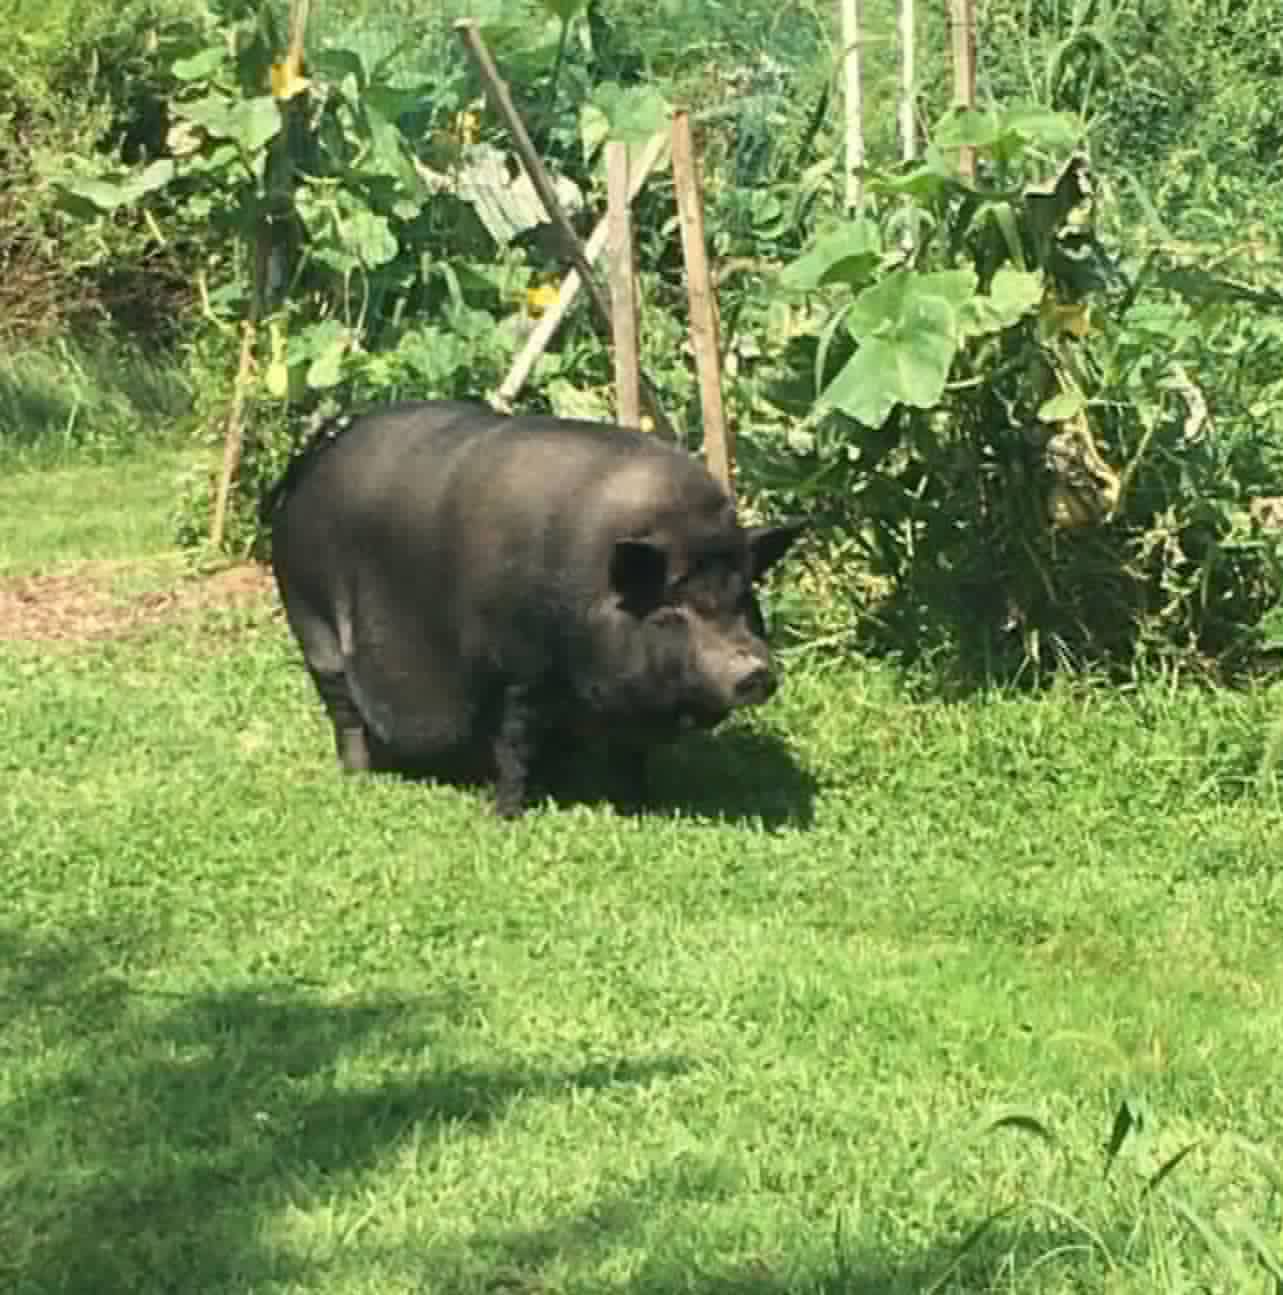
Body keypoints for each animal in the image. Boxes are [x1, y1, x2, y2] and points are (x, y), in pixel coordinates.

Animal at [264, 399, 804, 818]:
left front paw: (640, 805)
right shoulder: (515, 673)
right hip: (311, 619)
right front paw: (506, 815)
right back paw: (359, 776)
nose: (755, 670)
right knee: (344, 709)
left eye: (744, 595)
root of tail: (310, 462)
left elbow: (631, 758)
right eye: (671, 609)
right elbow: (513, 746)